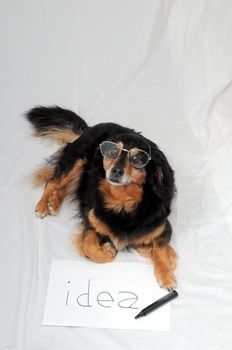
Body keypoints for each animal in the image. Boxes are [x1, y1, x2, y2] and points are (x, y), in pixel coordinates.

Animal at [25, 106, 178, 290]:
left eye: (137, 159)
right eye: (112, 152)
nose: (116, 171)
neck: (123, 203)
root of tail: (89, 128)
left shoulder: (163, 228)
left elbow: (160, 250)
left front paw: (166, 274)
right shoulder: (91, 221)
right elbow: (88, 246)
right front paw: (108, 251)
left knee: (70, 187)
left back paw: (53, 203)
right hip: (77, 161)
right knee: (52, 183)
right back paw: (43, 205)